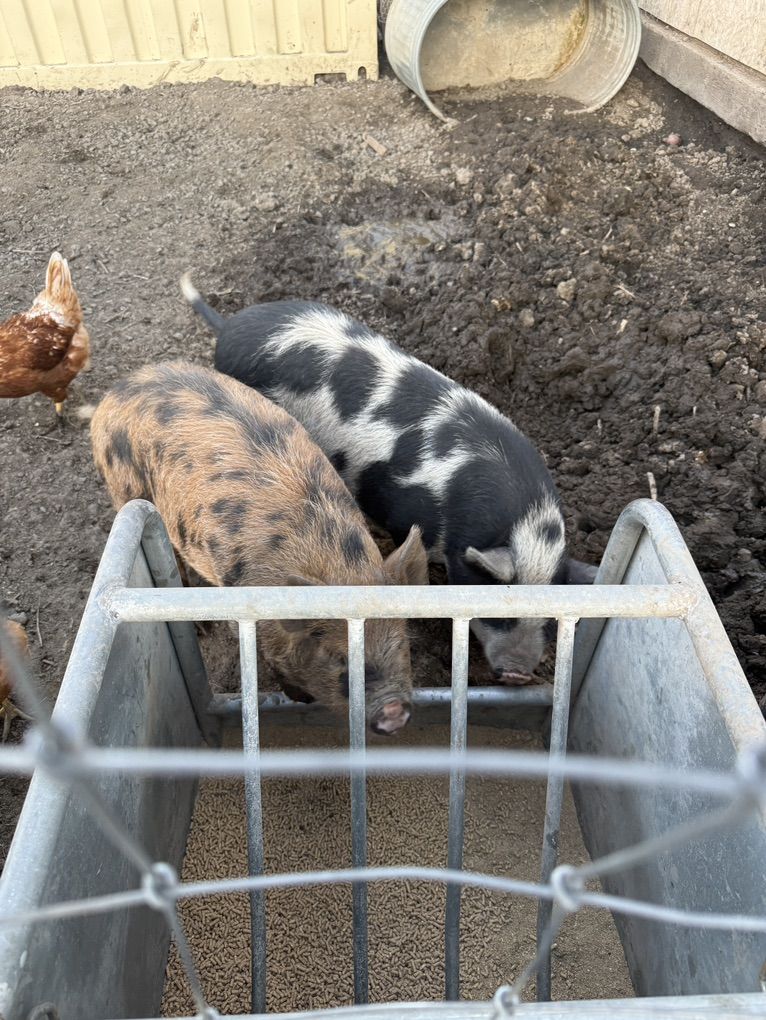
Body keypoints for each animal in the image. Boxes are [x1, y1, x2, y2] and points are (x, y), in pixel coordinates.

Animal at [90, 361, 428, 734]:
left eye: (401, 642)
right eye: (337, 657)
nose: (394, 710)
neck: (333, 562)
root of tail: (116, 391)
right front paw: (300, 699)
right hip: (127, 488)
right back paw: (203, 628)